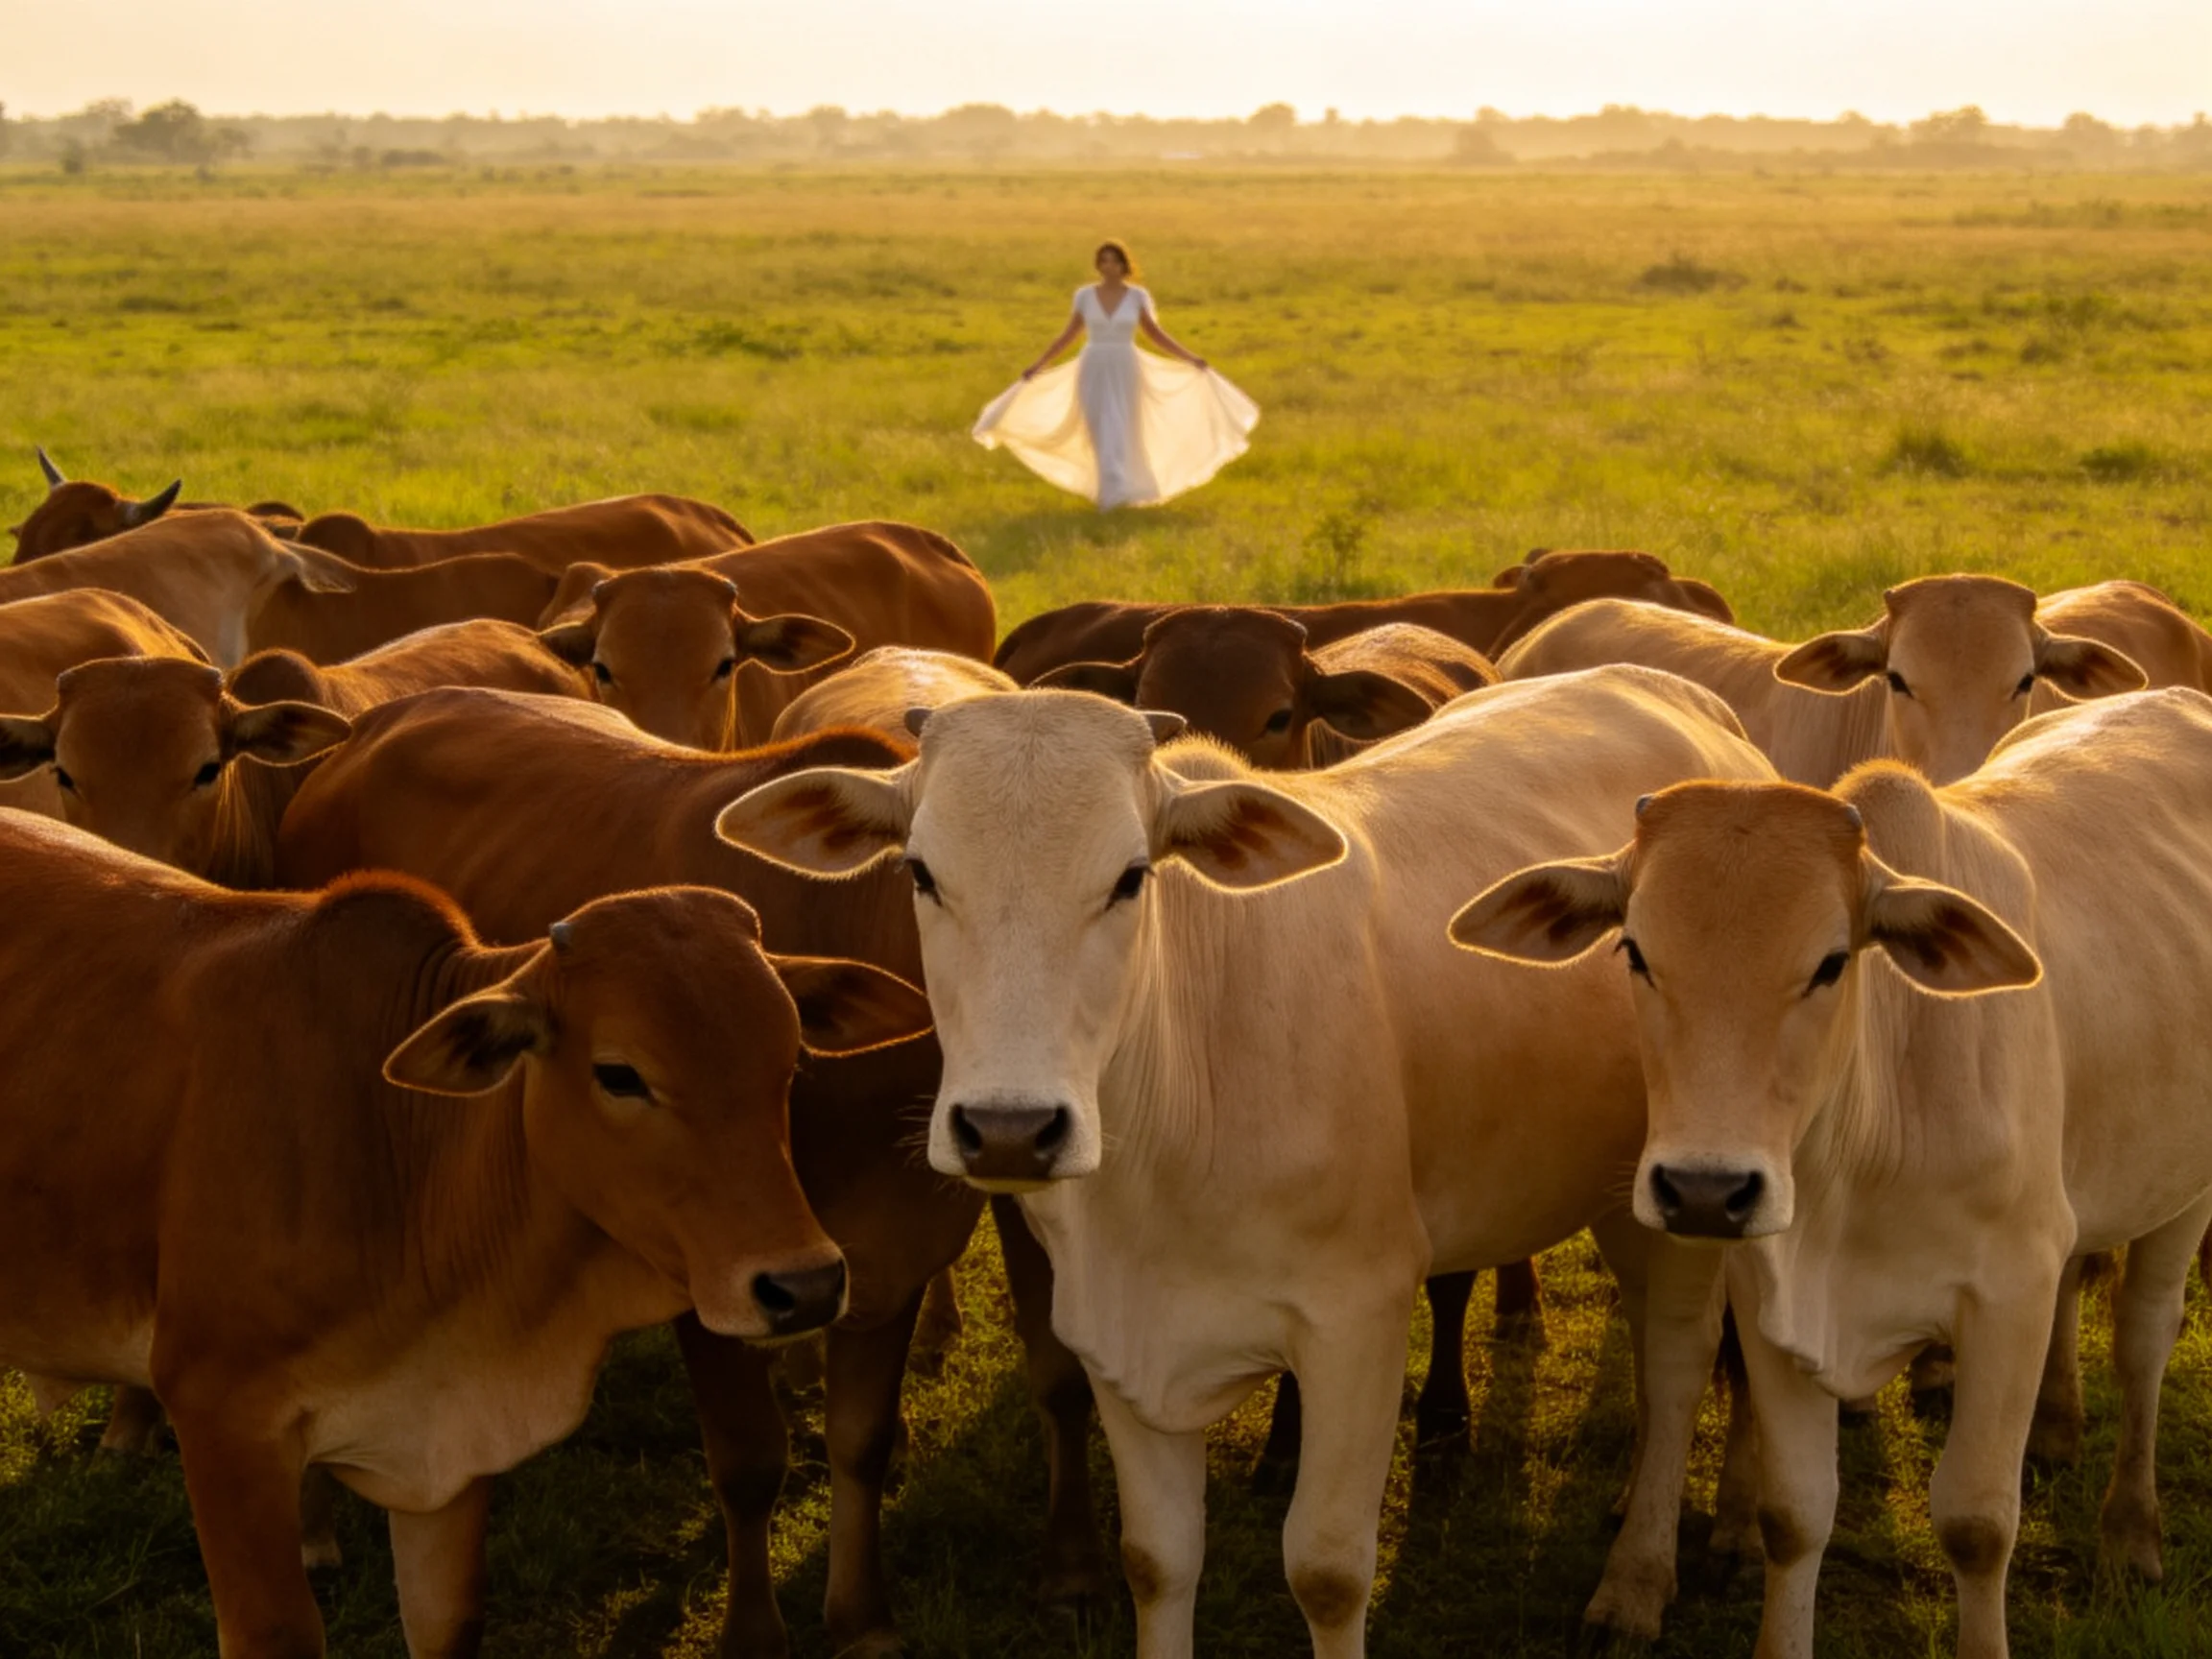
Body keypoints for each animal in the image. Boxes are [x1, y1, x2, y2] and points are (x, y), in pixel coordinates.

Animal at [0, 814, 927, 1657]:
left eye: (791, 1061)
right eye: (619, 1074)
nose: (805, 1286)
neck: (403, 1156)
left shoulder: (450, 1452)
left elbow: (447, 1626)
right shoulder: (221, 1417)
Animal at [274, 690, 1107, 1657]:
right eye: (927, 872)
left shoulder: (877, 1261)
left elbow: (863, 1439)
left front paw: (861, 1618)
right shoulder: (706, 1272)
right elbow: (748, 1462)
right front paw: (752, 1631)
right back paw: (311, 1526)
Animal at [713, 670, 1778, 1653]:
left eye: (1132, 876)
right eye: (922, 874)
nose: (1009, 1128)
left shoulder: (1359, 1321)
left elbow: (1328, 1573)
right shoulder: (1110, 1332)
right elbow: (1156, 1560)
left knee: (1679, 1358)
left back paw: (1637, 1581)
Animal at [1453, 691, 2212, 1659]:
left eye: (1830, 963)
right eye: (1634, 952)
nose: (1705, 1190)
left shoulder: (2010, 1293)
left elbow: (1977, 1525)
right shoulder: (1769, 1300)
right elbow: (1794, 1517)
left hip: (2185, 1190)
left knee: (2145, 1335)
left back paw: (2130, 1532)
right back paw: (2058, 1428)